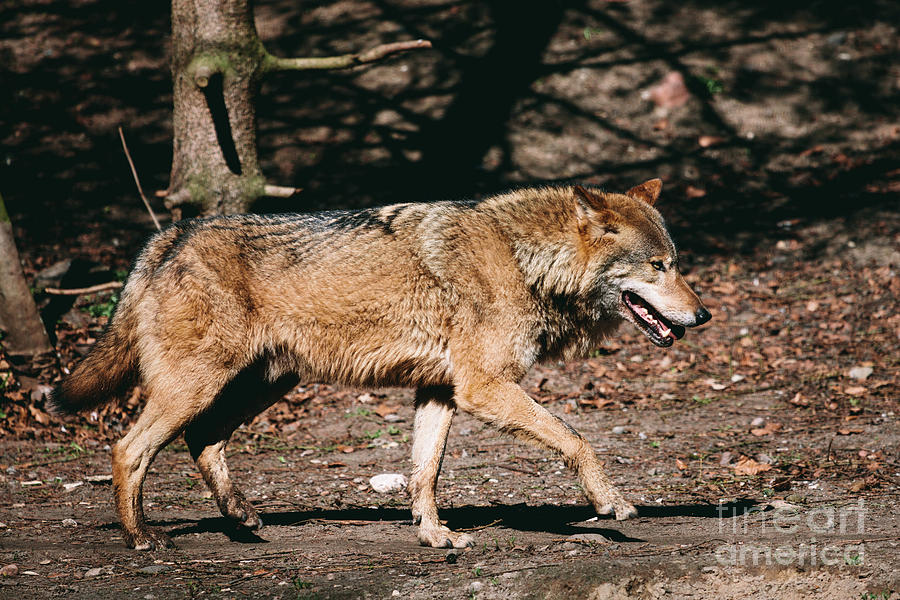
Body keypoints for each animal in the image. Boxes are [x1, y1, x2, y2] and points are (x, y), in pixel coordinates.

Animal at [49, 178, 712, 548]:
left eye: (677, 263)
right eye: (659, 267)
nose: (703, 315)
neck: (525, 260)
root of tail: (169, 237)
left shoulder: (441, 393)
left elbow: (425, 473)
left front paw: (434, 535)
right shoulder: (483, 388)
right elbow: (578, 440)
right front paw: (610, 504)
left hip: (259, 384)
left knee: (202, 440)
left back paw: (241, 519)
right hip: (199, 386)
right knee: (128, 449)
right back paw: (142, 539)